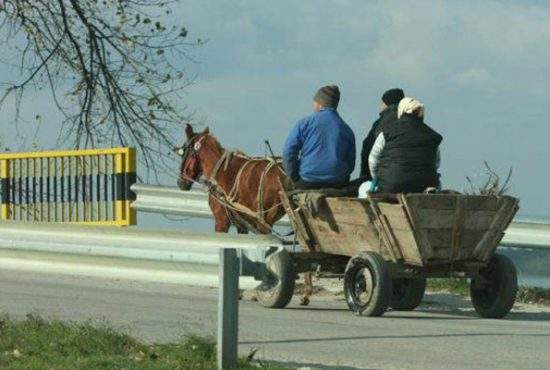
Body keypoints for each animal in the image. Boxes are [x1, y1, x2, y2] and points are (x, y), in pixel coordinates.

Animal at [177, 124, 314, 306]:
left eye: (184, 151)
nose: (180, 182)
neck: (220, 173)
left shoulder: (221, 222)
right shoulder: (242, 224)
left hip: (267, 218)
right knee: (307, 246)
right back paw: (305, 293)